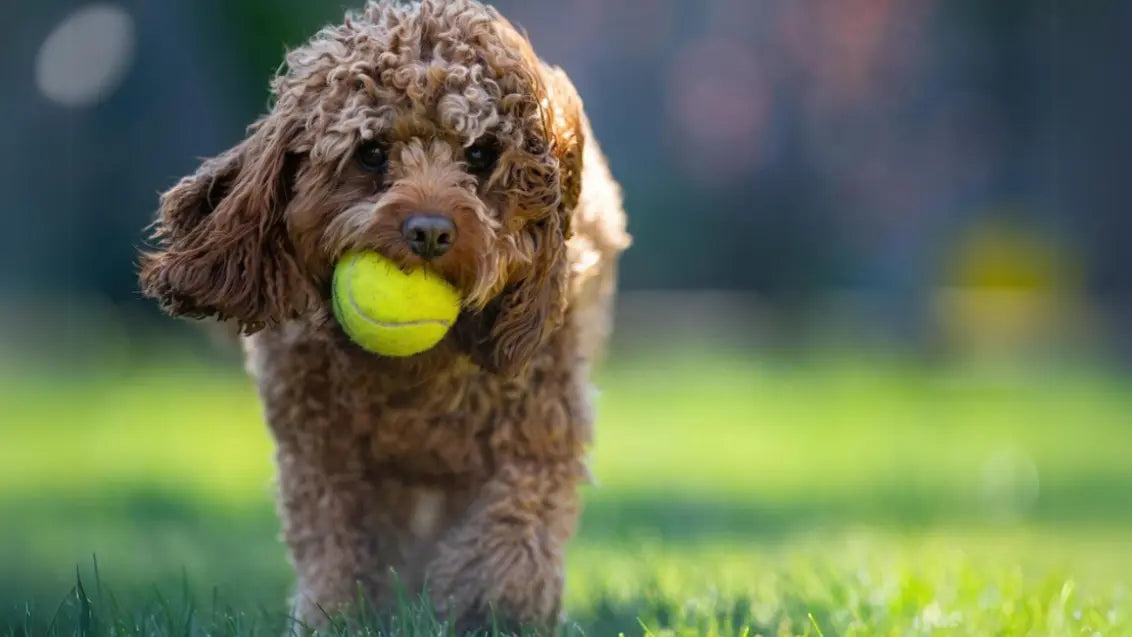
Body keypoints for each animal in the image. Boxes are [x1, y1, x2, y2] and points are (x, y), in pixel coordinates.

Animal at [135, 1, 629, 633]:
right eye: (371, 151)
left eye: (480, 154)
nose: (430, 231)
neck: (417, 375)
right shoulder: (324, 453)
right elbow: (338, 549)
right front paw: (340, 616)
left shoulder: (536, 428)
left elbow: (513, 531)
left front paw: (491, 610)